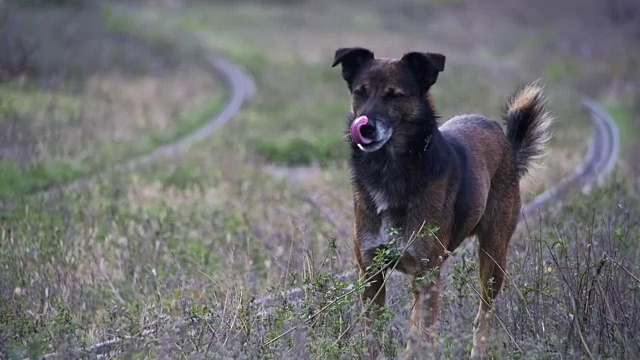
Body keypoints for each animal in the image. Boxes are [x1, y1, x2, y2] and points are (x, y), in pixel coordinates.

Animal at [332, 47, 552, 358]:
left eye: (394, 95)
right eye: (360, 92)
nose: (365, 127)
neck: (392, 169)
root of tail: (507, 142)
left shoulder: (426, 277)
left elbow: (419, 339)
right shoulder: (371, 272)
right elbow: (374, 337)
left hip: (494, 256)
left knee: (484, 315)